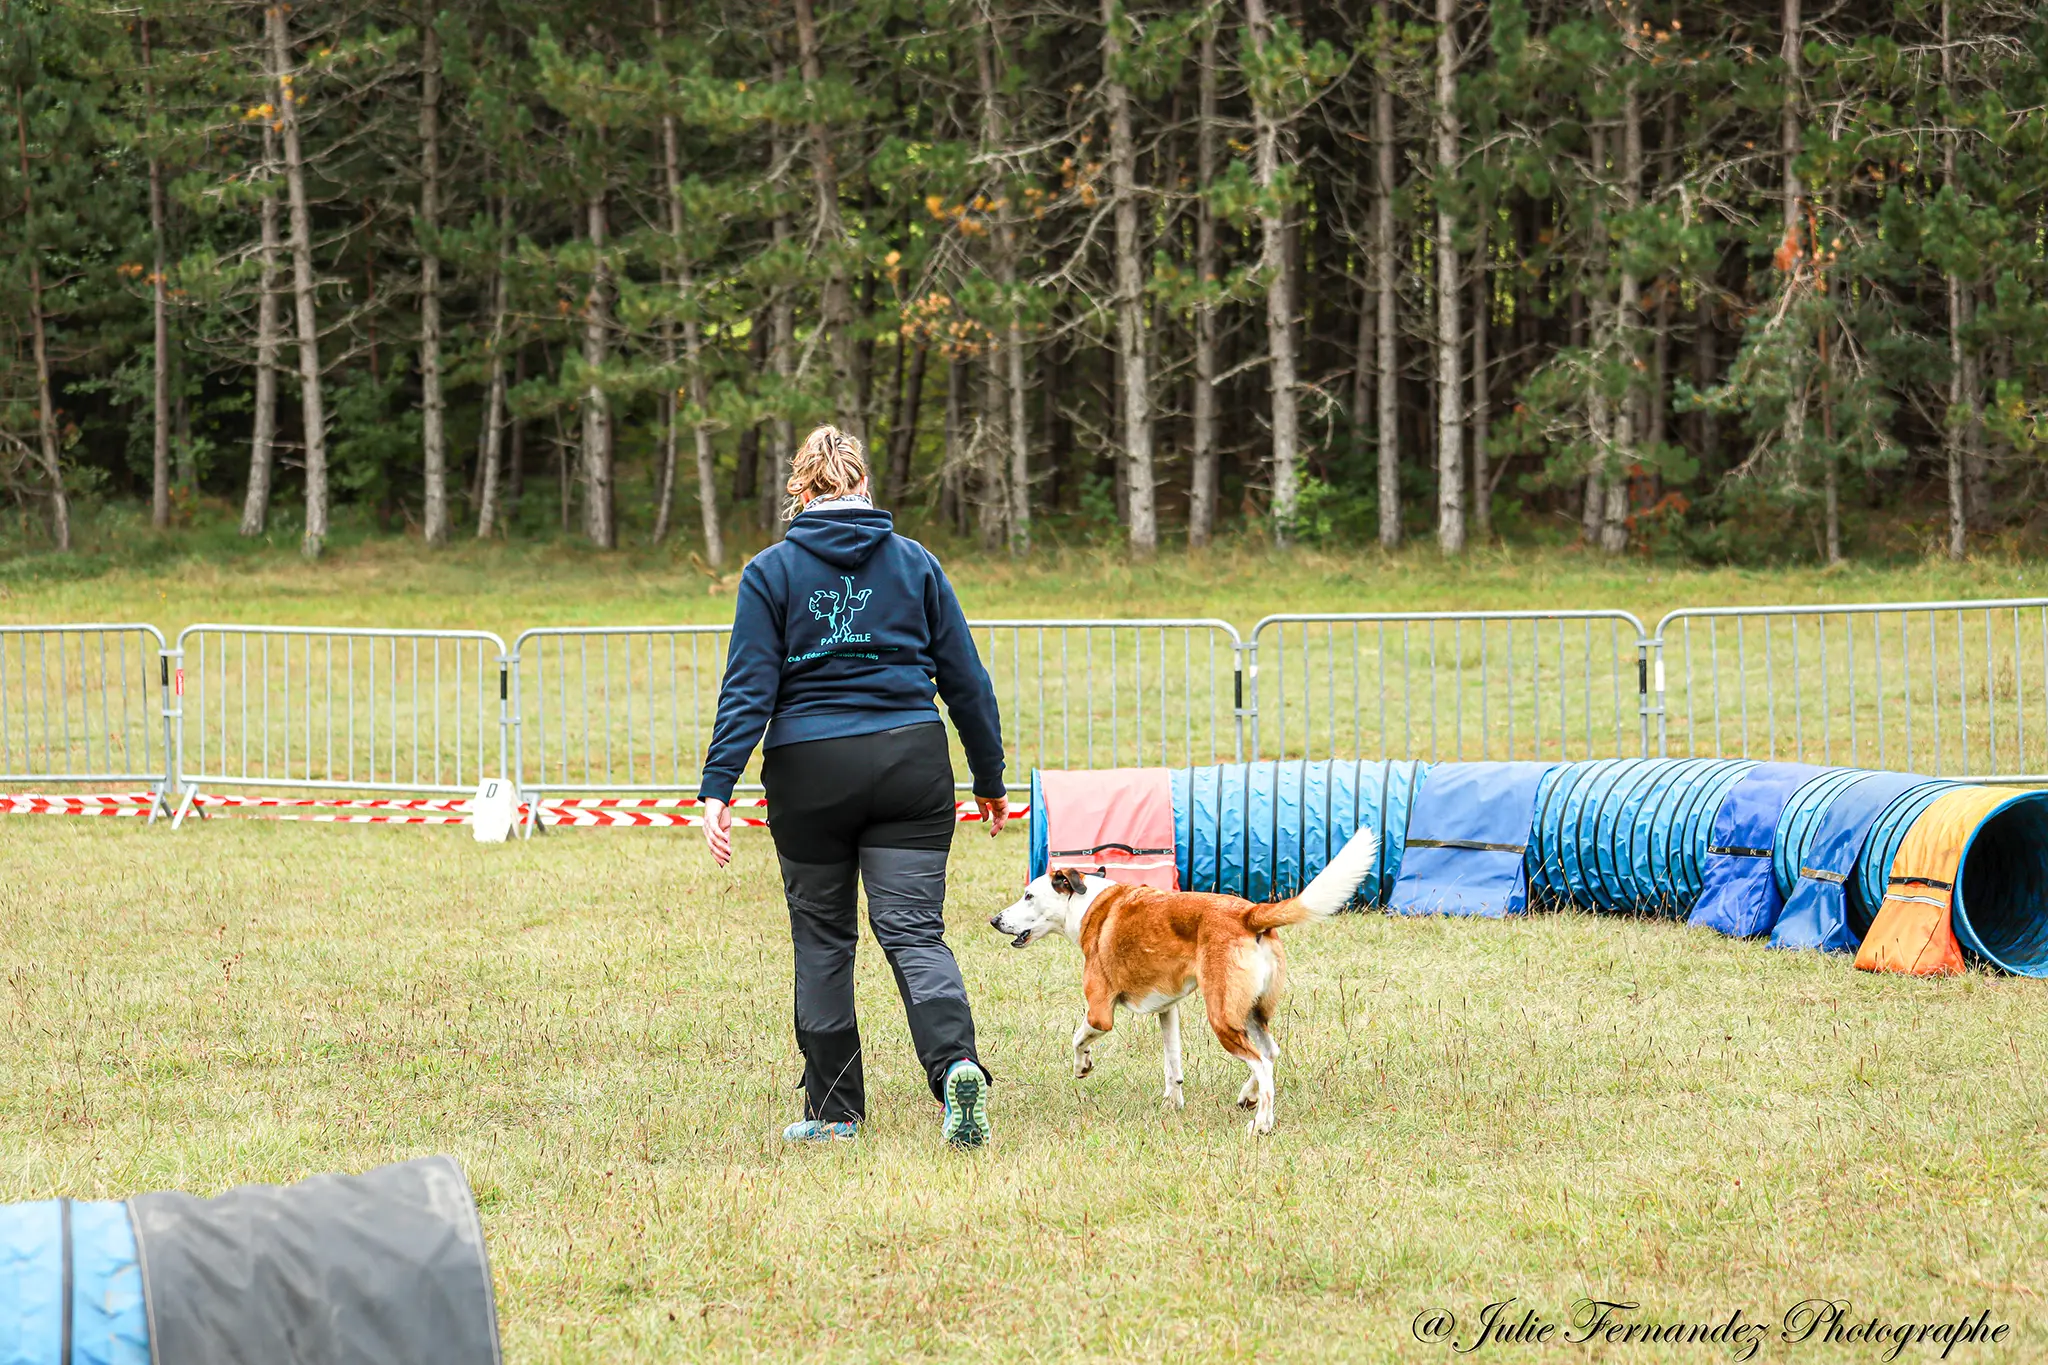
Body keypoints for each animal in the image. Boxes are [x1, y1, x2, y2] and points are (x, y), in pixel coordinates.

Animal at [987, 826, 1376, 1137]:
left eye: (1029, 896)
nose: (994, 920)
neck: (1087, 905)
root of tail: (1249, 913)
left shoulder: (1100, 1011)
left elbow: (1078, 1037)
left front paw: (1082, 1066)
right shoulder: (1167, 1009)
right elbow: (1172, 1064)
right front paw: (1172, 1104)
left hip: (1221, 1015)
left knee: (1262, 1063)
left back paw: (1261, 1123)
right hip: (1250, 1011)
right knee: (1270, 1051)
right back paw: (1247, 1097)